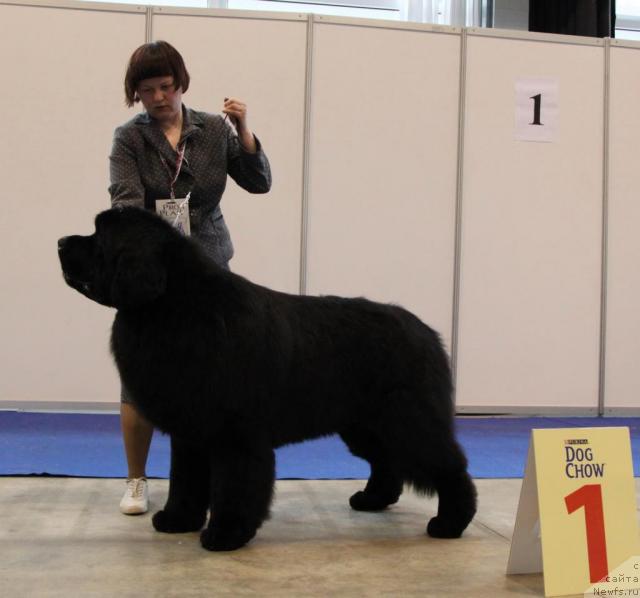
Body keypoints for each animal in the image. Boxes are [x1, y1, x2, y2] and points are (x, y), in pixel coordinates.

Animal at [58, 207, 476, 552]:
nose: (61, 241)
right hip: (365, 425)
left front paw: (225, 534)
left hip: (407, 420)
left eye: (98, 236)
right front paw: (178, 520)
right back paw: (371, 501)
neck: (173, 308)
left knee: (448, 465)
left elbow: (234, 486)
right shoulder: (191, 432)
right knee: (386, 461)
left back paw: (451, 522)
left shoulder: (235, 435)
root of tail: (427, 332)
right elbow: (186, 479)